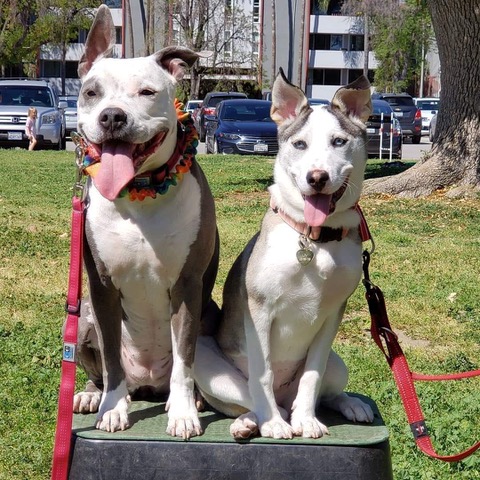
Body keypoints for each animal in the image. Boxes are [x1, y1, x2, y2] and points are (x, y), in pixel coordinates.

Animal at [71, 5, 219, 438]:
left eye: (147, 93)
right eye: (92, 92)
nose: (112, 116)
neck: (140, 192)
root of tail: (148, 383)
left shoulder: (187, 285)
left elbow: (185, 360)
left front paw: (183, 414)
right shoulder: (101, 287)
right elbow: (111, 360)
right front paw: (112, 409)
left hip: (210, 315)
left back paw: (188, 399)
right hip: (83, 321)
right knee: (102, 369)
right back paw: (92, 395)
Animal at [195, 69, 376, 440]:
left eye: (339, 142)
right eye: (300, 144)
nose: (317, 178)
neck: (314, 239)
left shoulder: (332, 314)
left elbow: (312, 375)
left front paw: (306, 420)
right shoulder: (259, 308)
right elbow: (262, 373)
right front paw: (276, 425)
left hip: (339, 363)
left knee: (326, 392)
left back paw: (350, 405)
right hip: (206, 362)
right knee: (249, 396)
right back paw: (255, 421)